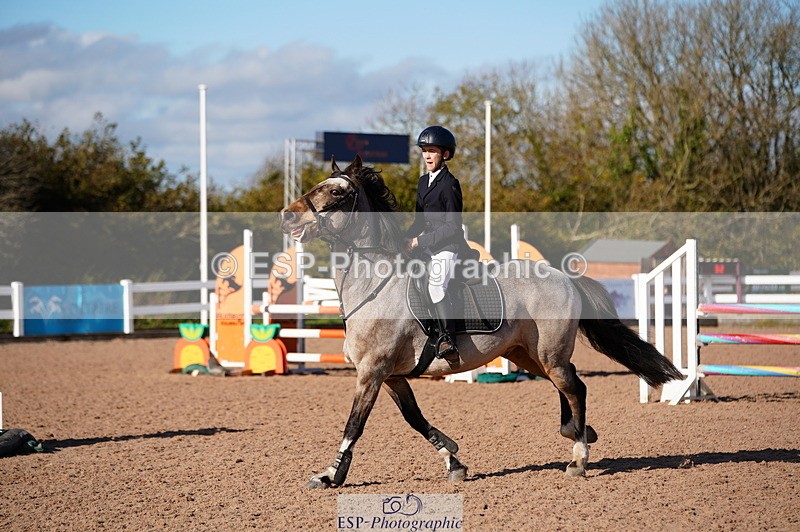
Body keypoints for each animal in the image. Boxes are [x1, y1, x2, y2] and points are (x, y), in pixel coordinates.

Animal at [279, 155, 683, 489]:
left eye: (335, 190)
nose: (286, 215)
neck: (374, 285)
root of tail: (563, 276)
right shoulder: (390, 376)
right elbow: (415, 419)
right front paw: (453, 461)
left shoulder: (372, 371)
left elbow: (354, 424)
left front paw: (331, 475)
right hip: (527, 354)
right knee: (567, 384)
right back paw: (574, 432)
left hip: (548, 353)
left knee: (574, 387)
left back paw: (579, 458)